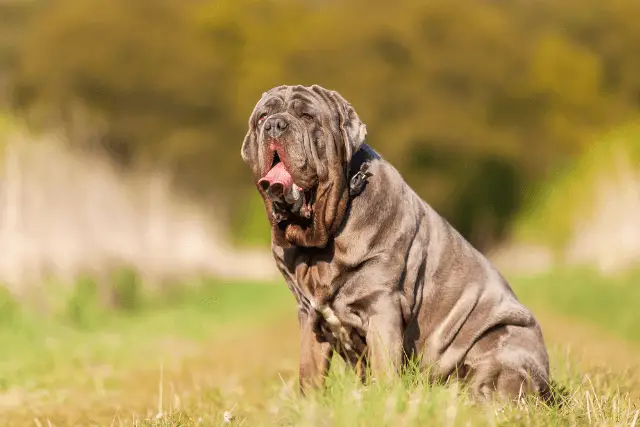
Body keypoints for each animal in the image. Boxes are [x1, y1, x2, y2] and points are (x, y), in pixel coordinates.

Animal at [240, 85, 552, 402]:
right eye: (262, 116)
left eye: (307, 116)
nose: (275, 125)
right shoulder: (309, 316)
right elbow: (310, 373)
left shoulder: (382, 307)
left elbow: (383, 366)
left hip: (502, 342)